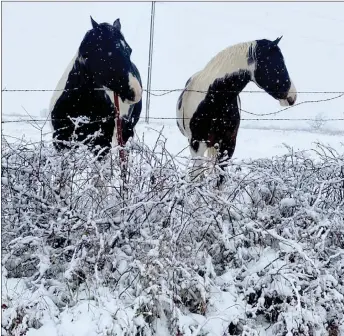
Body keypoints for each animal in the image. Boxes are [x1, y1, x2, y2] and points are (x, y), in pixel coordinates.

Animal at [49, 17, 142, 160]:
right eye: (106, 52)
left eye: (129, 50)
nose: (135, 91)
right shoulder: (61, 142)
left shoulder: (101, 145)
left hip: (127, 132)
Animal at [176, 36, 296, 186]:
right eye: (278, 65)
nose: (293, 96)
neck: (215, 101)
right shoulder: (196, 144)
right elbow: (197, 177)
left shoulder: (228, 145)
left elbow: (220, 179)